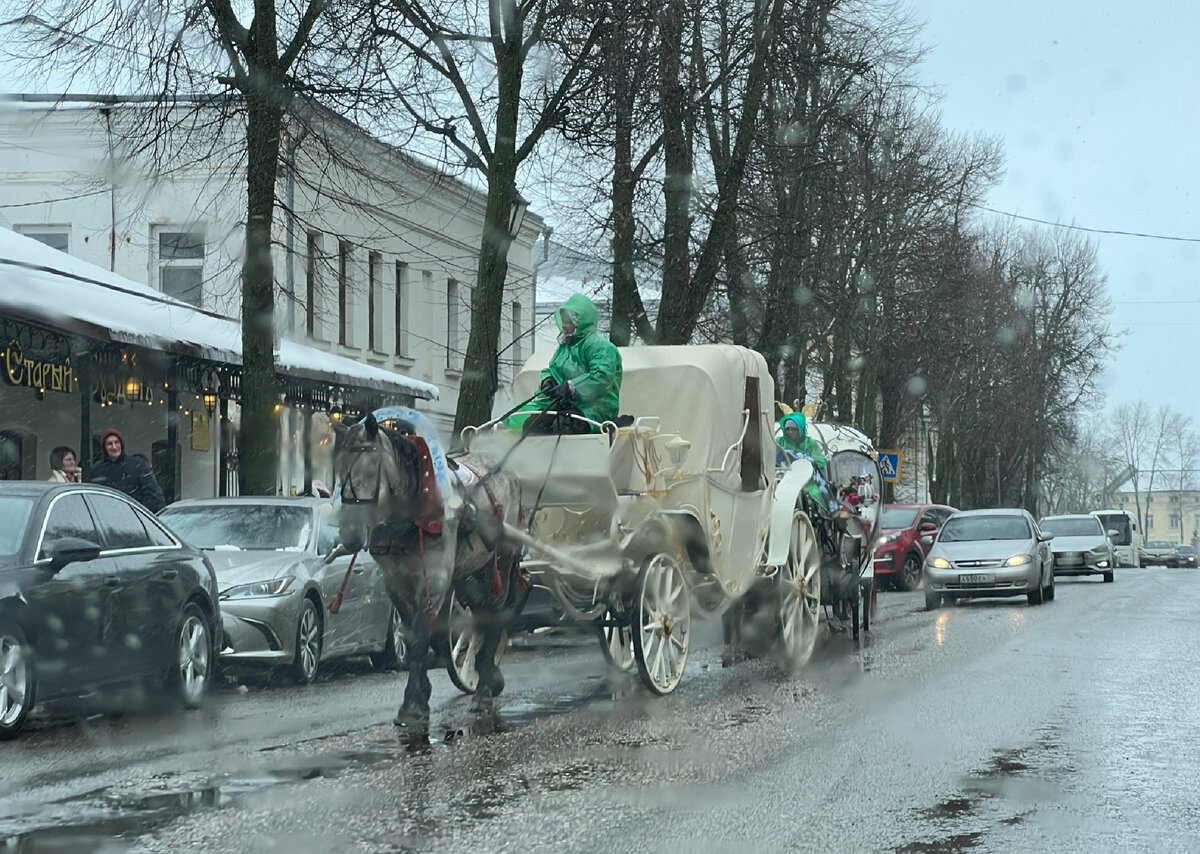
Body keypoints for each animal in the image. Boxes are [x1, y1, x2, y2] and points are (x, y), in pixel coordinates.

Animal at [338, 412, 525, 734]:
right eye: (339, 472)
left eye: (370, 470)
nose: (349, 536)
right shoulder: (395, 580)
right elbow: (412, 634)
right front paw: (420, 695)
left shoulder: (435, 577)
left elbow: (420, 636)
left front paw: (413, 705)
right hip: (470, 572)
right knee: (481, 613)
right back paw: (486, 677)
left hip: (500, 563)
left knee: (495, 615)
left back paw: (483, 693)